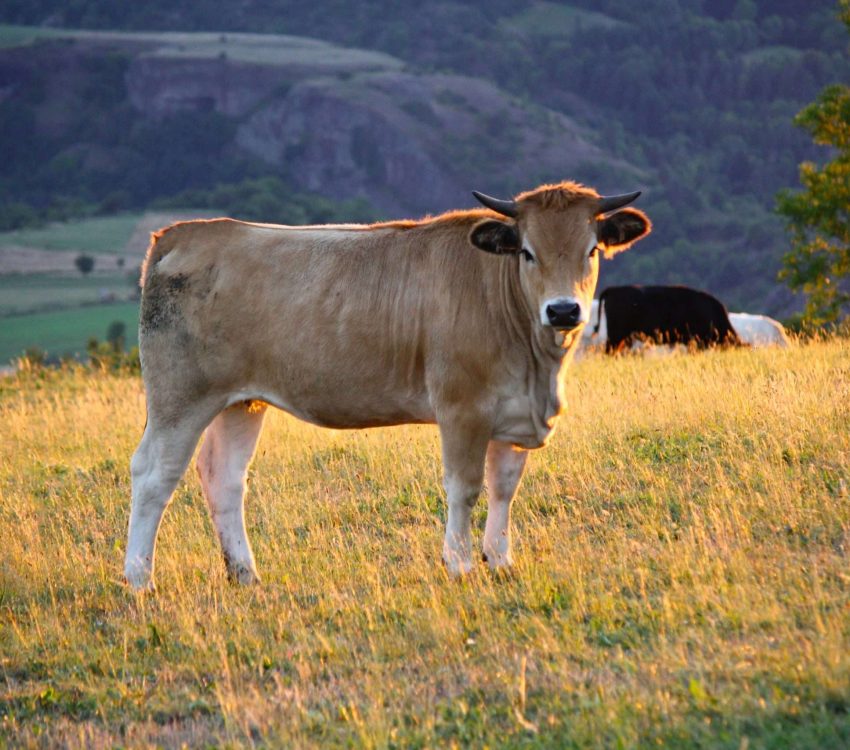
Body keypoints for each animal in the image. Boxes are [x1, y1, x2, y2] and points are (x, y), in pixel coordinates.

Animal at [124, 179, 648, 592]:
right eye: (527, 252)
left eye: (592, 250)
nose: (563, 310)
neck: (537, 368)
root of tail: (185, 232)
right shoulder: (462, 408)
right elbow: (465, 487)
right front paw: (459, 564)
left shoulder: (514, 414)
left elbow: (504, 488)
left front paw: (499, 561)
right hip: (179, 397)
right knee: (154, 475)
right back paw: (139, 579)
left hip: (242, 401)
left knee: (225, 478)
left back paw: (245, 574)